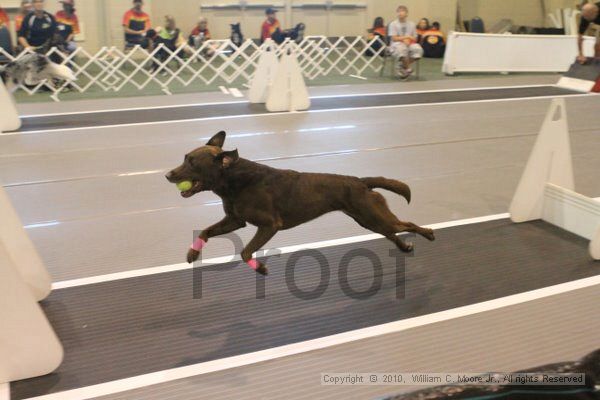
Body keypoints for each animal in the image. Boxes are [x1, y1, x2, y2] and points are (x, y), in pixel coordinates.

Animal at [166, 131, 434, 276]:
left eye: (192, 163)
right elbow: (205, 231)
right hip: (368, 220)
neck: (234, 182)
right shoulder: (235, 220)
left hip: (373, 216)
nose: (168, 175)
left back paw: (429, 234)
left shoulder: (269, 225)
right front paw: (192, 253)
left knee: (407, 224)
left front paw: (260, 269)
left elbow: (244, 252)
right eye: (184, 158)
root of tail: (360, 181)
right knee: (394, 232)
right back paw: (405, 247)